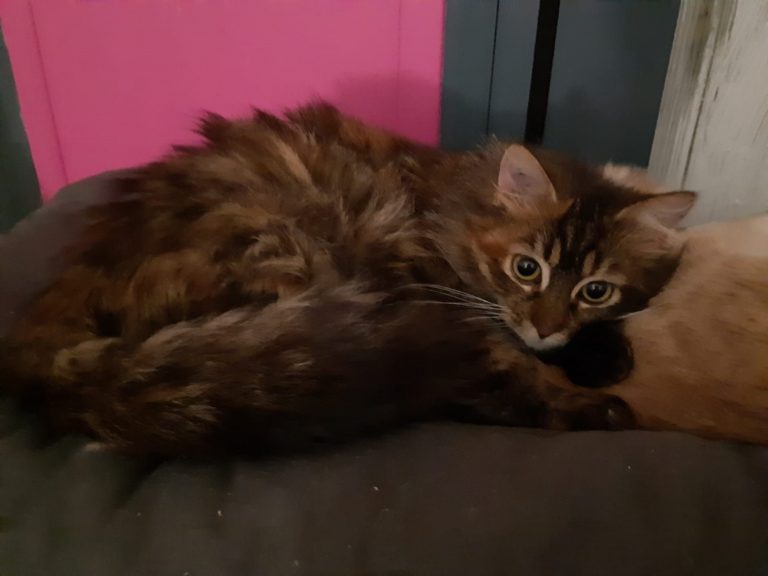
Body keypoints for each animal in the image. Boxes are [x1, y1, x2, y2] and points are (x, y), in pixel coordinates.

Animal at [0, 103, 695, 456]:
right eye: (526, 268)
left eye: (595, 290)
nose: (546, 330)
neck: (451, 205)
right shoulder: (449, 307)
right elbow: (512, 376)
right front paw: (595, 401)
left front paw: (603, 351)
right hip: (294, 253)